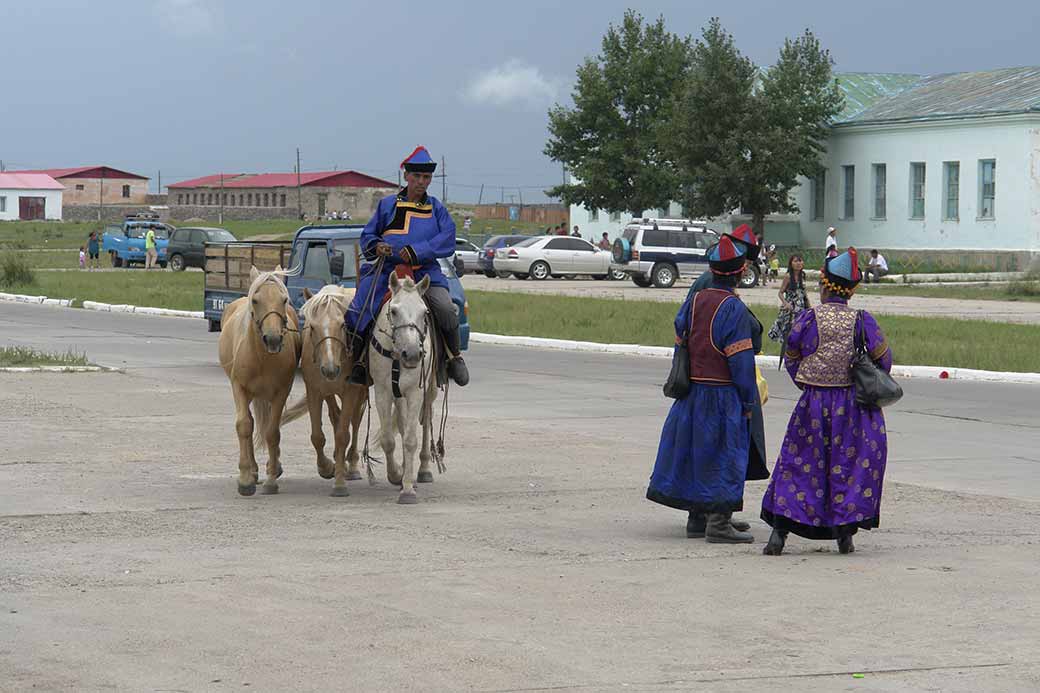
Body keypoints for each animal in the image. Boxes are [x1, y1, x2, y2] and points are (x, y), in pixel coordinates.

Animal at [217, 264, 301, 497]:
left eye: (284, 299)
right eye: (255, 300)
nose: (272, 339)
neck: (262, 357)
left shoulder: (281, 391)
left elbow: (272, 431)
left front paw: (271, 478)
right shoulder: (239, 388)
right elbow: (244, 425)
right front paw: (246, 479)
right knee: (252, 423)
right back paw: (253, 470)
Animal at [282, 283, 368, 493]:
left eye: (343, 325)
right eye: (312, 327)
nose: (330, 369)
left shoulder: (351, 392)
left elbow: (344, 433)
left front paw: (340, 477)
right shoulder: (315, 391)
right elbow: (318, 436)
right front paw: (327, 467)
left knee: (355, 420)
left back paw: (352, 465)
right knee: (336, 416)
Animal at [370, 270, 438, 501]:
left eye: (424, 312)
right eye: (394, 311)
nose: (413, 354)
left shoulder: (416, 392)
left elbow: (410, 439)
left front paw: (407, 489)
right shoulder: (382, 391)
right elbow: (388, 439)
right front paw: (396, 475)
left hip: (430, 389)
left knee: (425, 422)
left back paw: (424, 469)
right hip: (397, 395)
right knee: (400, 421)